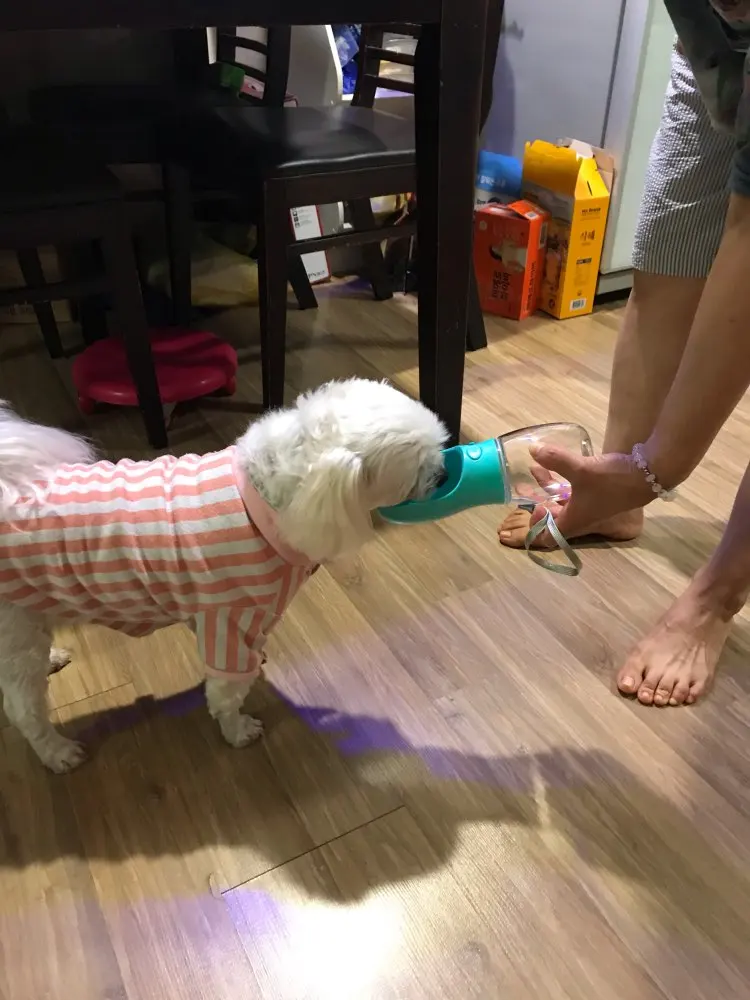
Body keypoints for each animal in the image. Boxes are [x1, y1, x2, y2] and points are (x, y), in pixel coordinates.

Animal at [0, 378, 447, 772]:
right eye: (418, 470)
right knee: (24, 708)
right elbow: (226, 692)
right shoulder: (232, 618)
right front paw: (238, 731)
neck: (265, 501)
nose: (444, 474)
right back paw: (58, 753)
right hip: (16, 632)